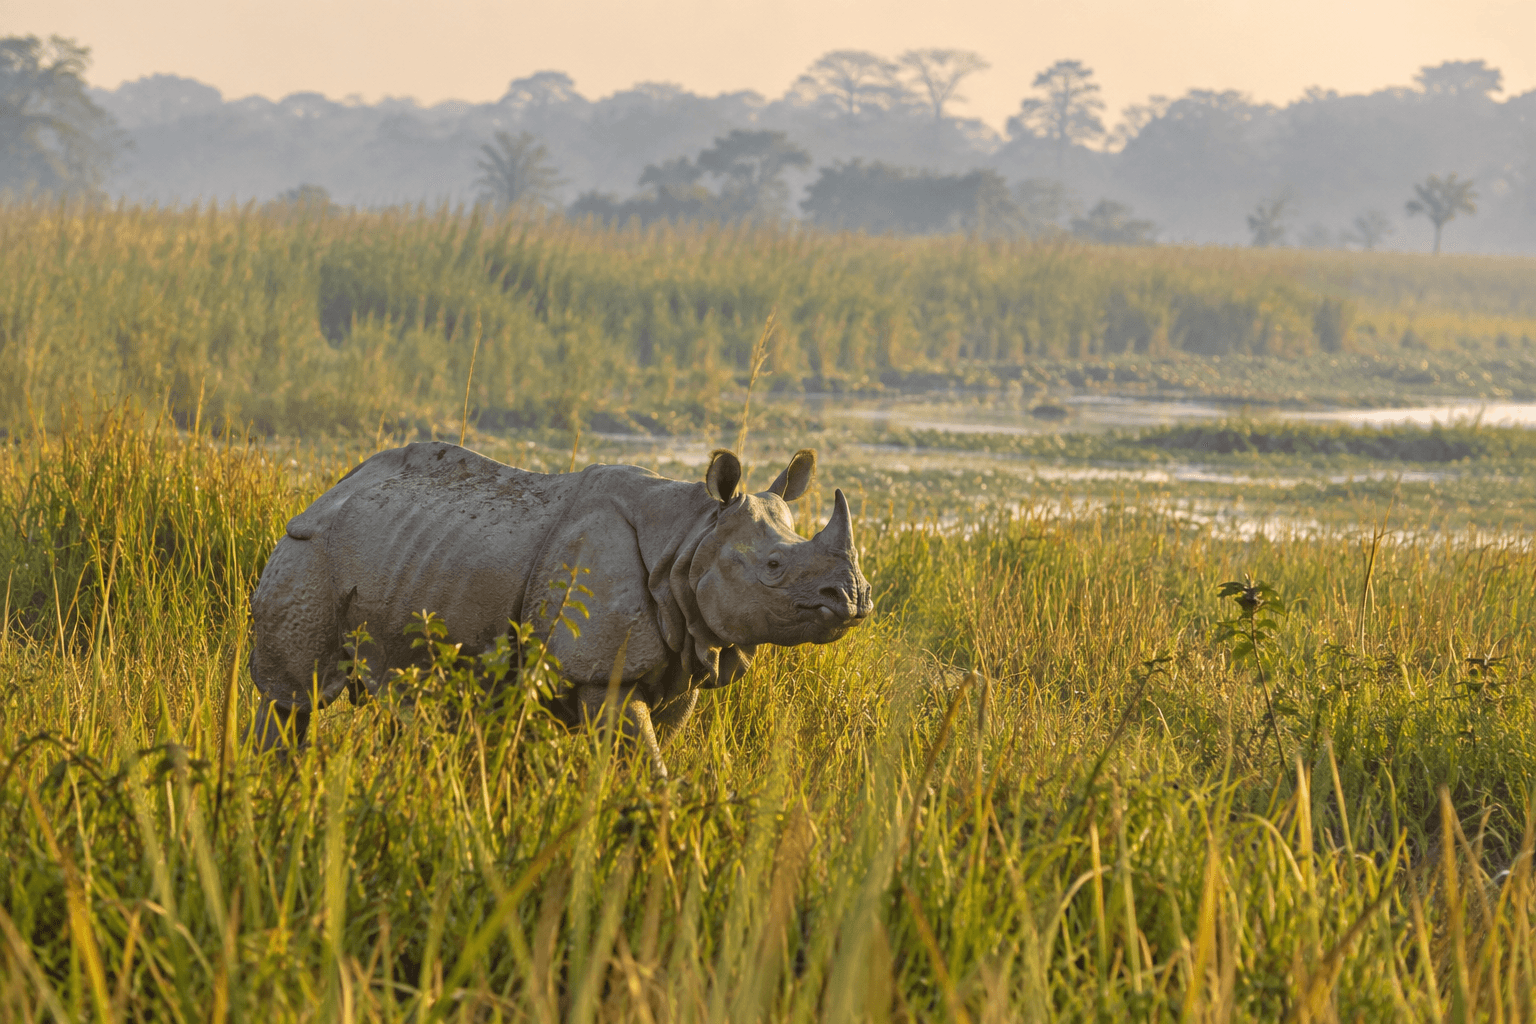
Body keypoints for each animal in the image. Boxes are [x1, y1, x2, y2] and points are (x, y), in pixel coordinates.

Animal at [248, 442, 871, 775]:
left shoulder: (686, 657)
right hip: (307, 553)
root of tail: (329, 489)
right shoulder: (603, 671)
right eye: (774, 567)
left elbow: (660, 746)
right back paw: (272, 782)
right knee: (293, 697)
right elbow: (642, 761)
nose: (855, 599)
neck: (691, 538)